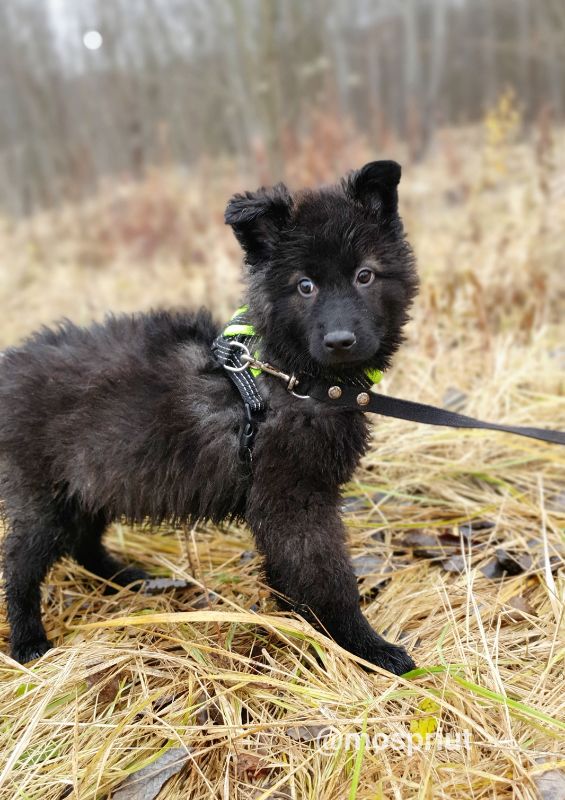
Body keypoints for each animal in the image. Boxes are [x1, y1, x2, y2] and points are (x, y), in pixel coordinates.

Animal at [1, 162, 418, 676]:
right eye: (305, 285)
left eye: (365, 275)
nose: (340, 340)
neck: (289, 375)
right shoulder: (294, 499)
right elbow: (327, 579)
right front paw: (367, 647)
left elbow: (293, 573)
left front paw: (303, 623)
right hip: (44, 494)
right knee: (21, 566)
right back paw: (28, 642)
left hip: (93, 479)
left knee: (82, 543)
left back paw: (130, 578)